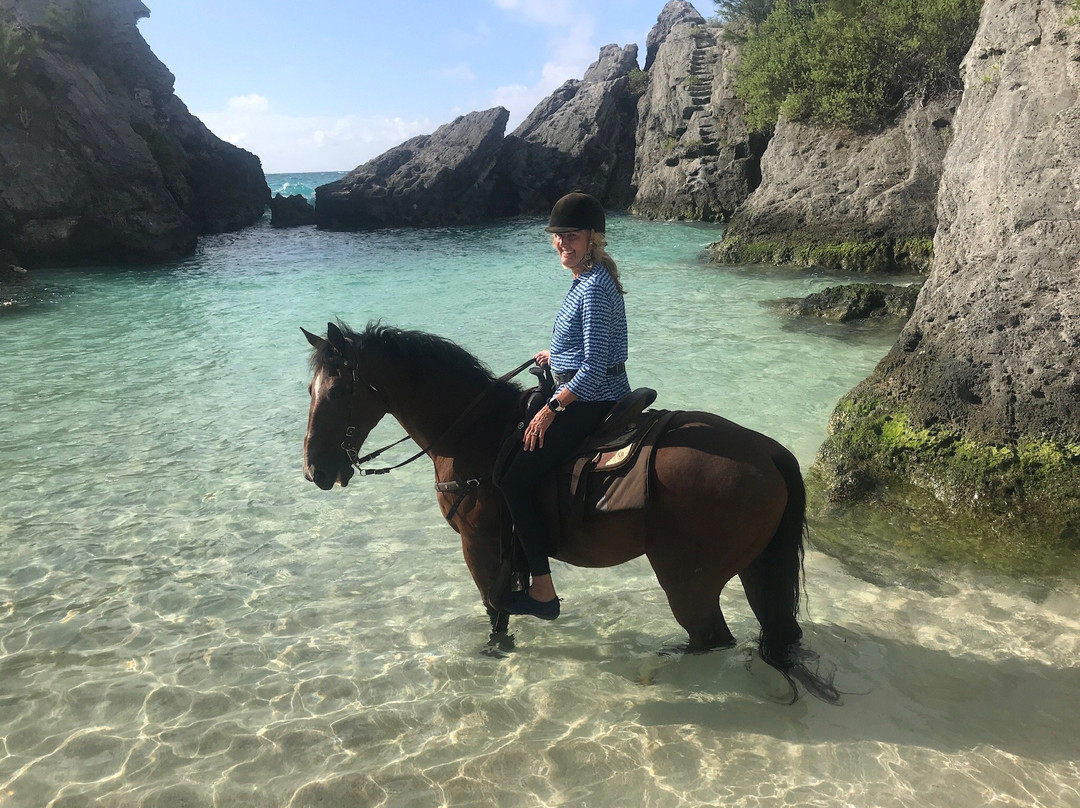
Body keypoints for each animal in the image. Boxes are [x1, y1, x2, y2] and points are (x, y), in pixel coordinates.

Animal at [302, 321, 839, 703]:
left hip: (689, 579)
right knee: (768, 629)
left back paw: (653, 667)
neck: (474, 433)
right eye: (310, 391)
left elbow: (495, 607)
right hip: (755, 567)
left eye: (338, 392)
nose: (315, 471)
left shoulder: (479, 544)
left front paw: (496, 649)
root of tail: (767, 451)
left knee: (710, 637)